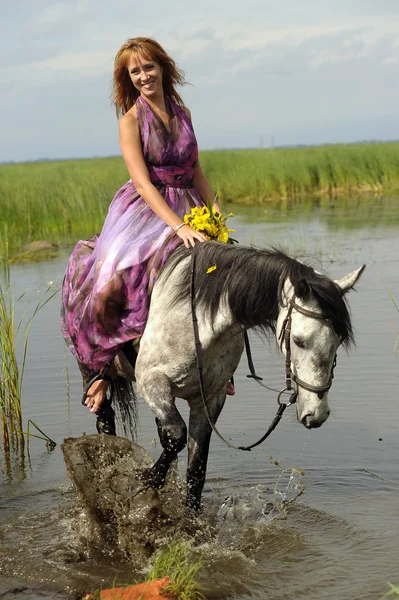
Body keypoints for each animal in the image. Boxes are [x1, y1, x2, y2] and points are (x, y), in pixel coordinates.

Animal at [77, 244, 366, 510]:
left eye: (339, 341)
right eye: (299, 341)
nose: (316, 413)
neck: (200, 320)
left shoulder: (209, 398)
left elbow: (195, 468)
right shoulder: (152, 381)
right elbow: (177, 436)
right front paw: (145, 479)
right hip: (91, 370)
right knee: (105, 418)